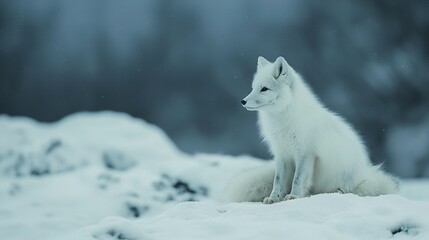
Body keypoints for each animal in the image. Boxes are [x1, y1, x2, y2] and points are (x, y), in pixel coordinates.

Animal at [227, 56, 398, 204]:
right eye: (253, 88)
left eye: (264, 89)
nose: (243, 101)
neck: (282, 121)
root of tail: (364, 175)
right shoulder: (282, 155)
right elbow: (278, 180)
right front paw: (274, 198)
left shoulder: (306, 154)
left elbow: (297, 179)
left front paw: (294, 197)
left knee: (350, 190)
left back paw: (337, 191)